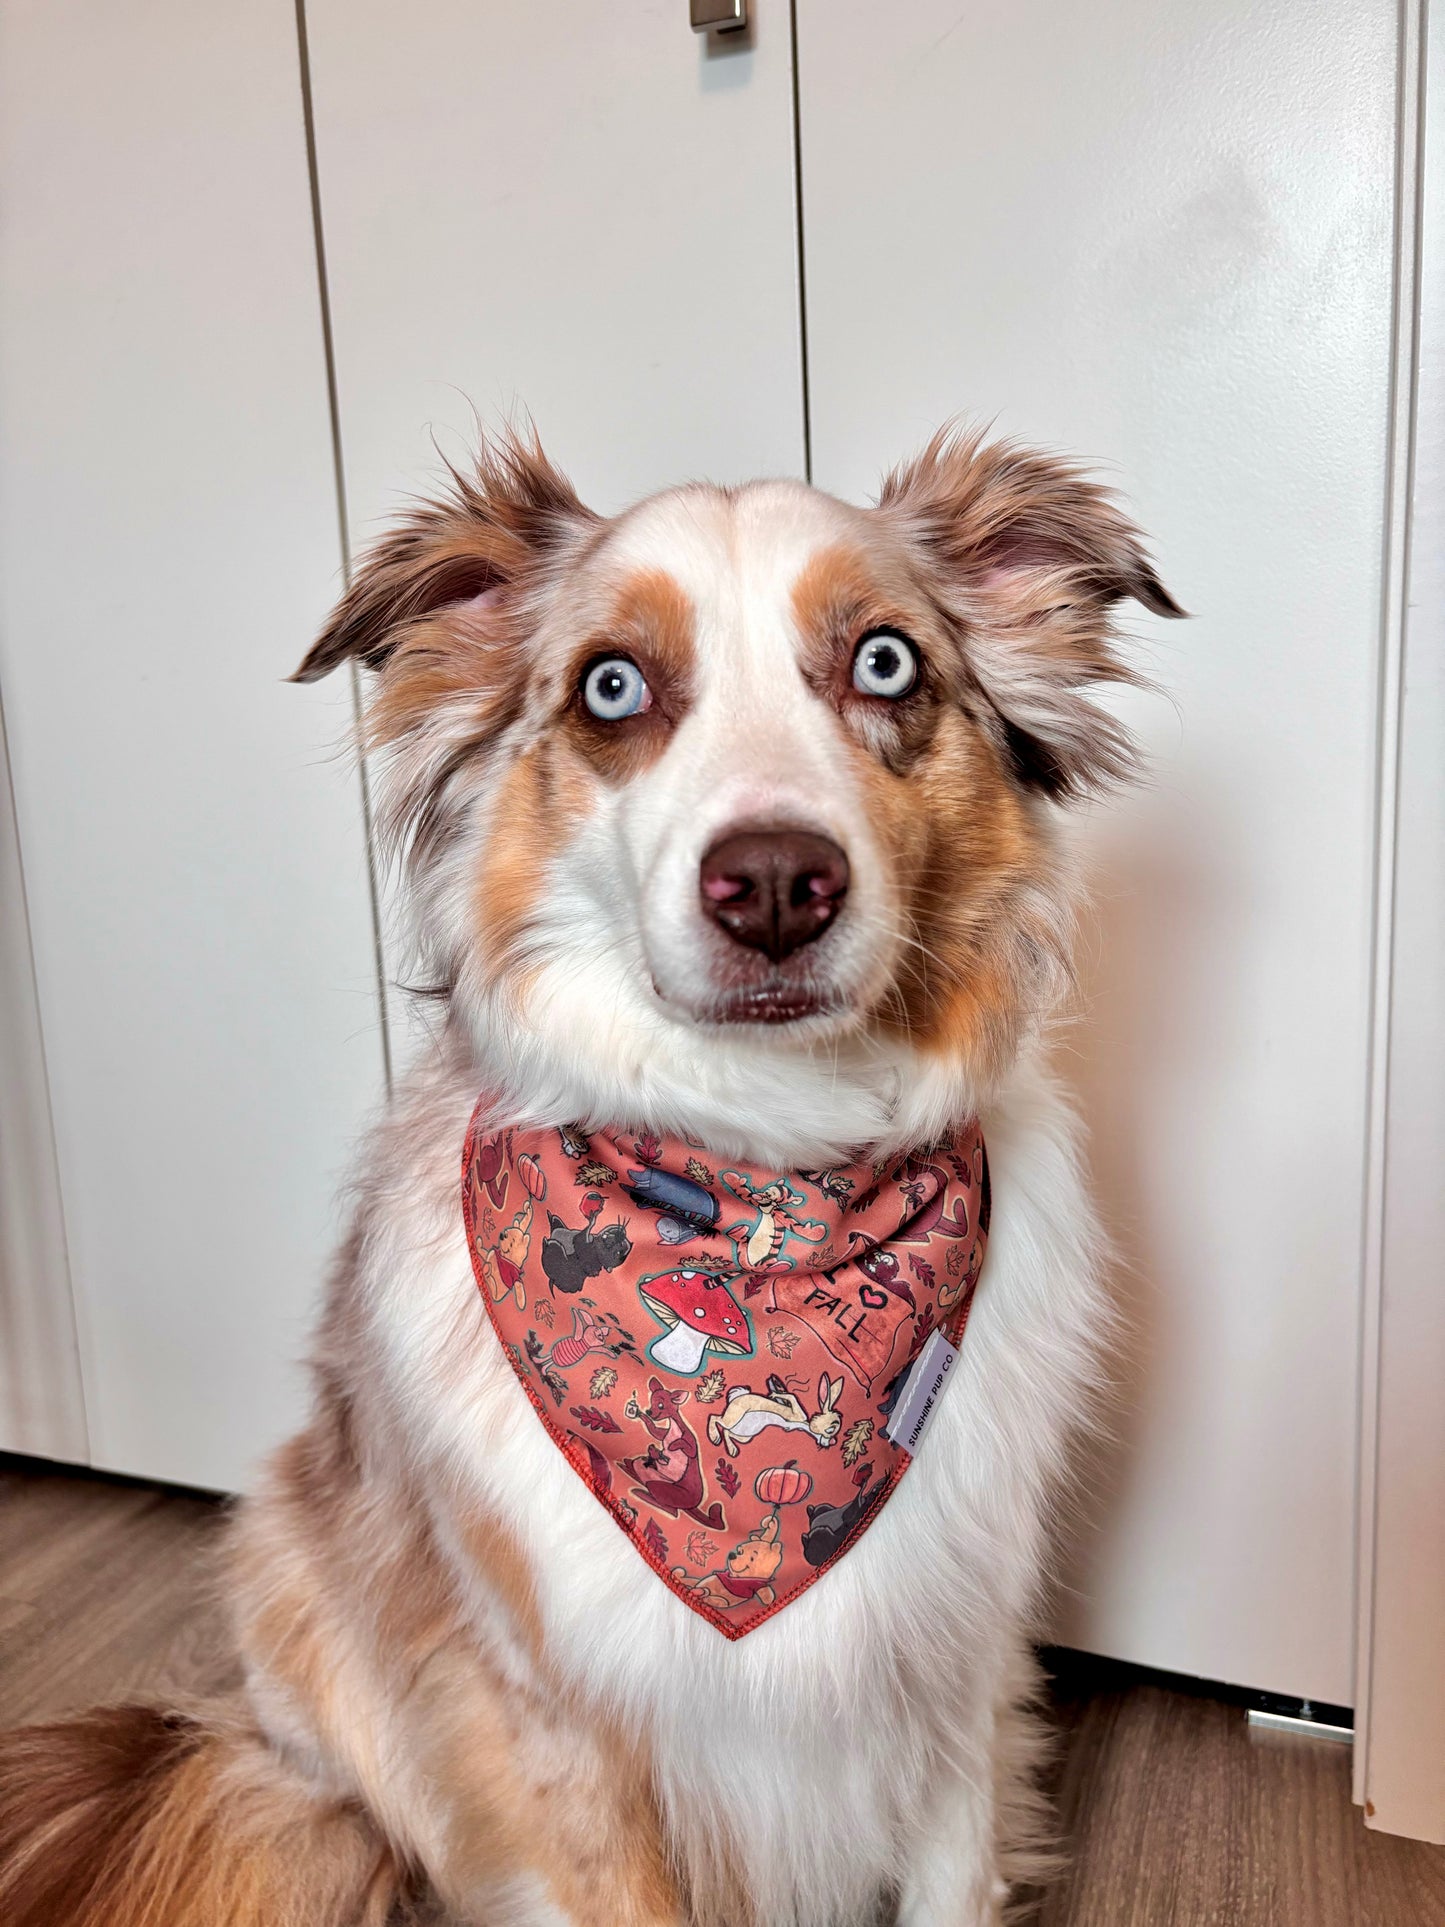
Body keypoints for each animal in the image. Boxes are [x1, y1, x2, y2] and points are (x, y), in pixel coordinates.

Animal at [0, 425, 1179, 1927]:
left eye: (884, 662)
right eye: (612, 684)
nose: (776, 883)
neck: (760, 1176)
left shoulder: (956, 1674)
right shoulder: (552, 1721)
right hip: (288, 1574)